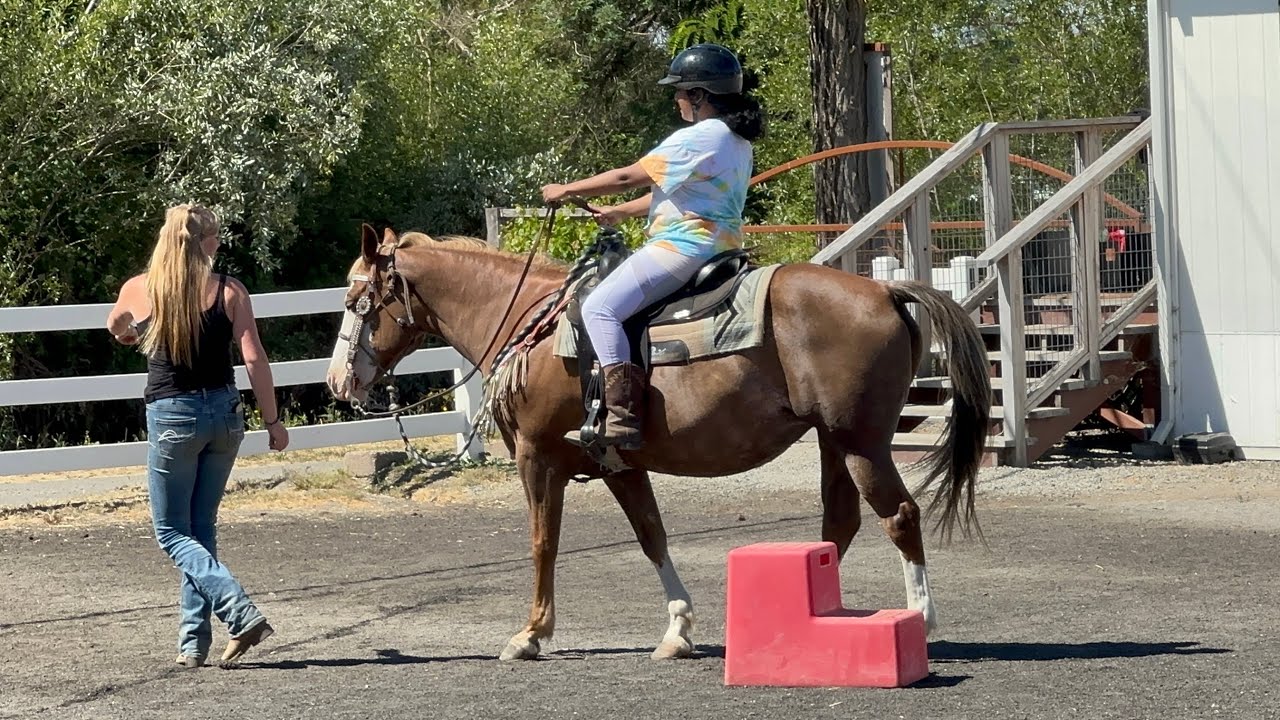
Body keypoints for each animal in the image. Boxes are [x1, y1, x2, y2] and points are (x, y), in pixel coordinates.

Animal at [325, 222, 991, 661]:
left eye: (357, 300)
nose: (338, 381)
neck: (532, 326)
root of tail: (885, 291)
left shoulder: (538, 458)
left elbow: (543, 543)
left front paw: (531, 634)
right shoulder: (618, 463)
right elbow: (652, 536)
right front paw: (678, 629)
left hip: (862, 443)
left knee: (899, 515)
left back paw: (919, 619)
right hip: (834, 442)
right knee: (840, 523)